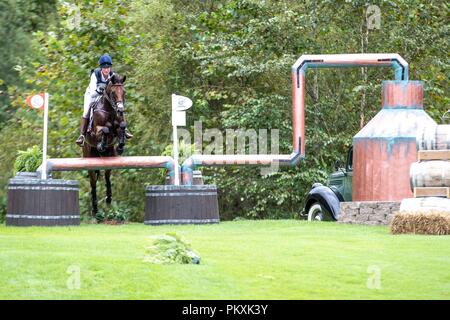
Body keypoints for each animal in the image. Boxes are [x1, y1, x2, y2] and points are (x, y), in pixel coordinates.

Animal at [82, 74, 127, 216]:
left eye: (124, 92)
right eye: (113, 93)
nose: (120, 109)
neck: (110, 110)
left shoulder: (118, 127)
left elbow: (122, 126)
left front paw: (121, 146)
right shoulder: (96, 131)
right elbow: (105, 129)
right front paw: (101, 144)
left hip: (109, 158)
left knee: (107, 177)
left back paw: (108, 198)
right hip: (89, 160)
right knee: (93, 183)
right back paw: (95, 208)